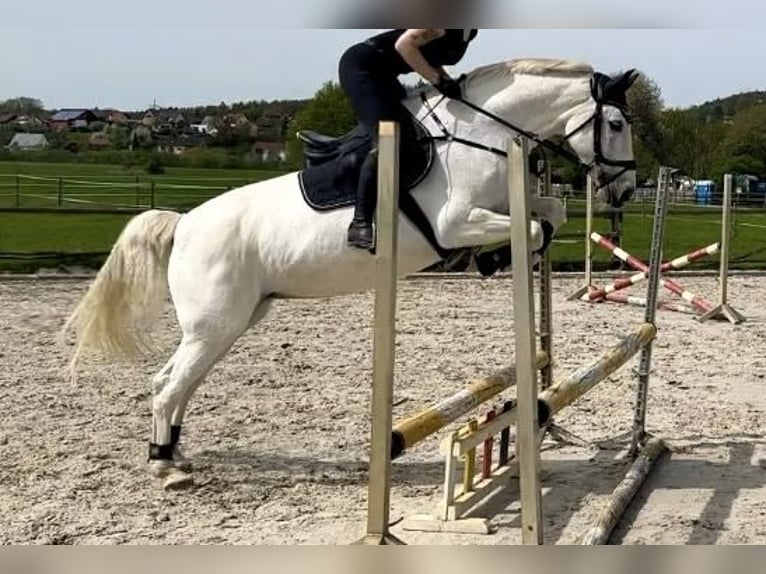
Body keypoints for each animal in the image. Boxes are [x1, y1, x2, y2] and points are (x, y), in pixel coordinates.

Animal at [64, 58, 640, 486]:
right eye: (615, 125)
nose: (627, 190)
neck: (481, 135)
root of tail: (184, 224)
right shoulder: (456, 222)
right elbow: (532, 226)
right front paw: (489, 259)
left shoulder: (507, 206)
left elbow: (552, 213)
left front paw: (495, 258)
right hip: (214, 325)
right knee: (167, 385)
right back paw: (164, 467)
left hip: (232, 323)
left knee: (180, 383)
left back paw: (173, 453)